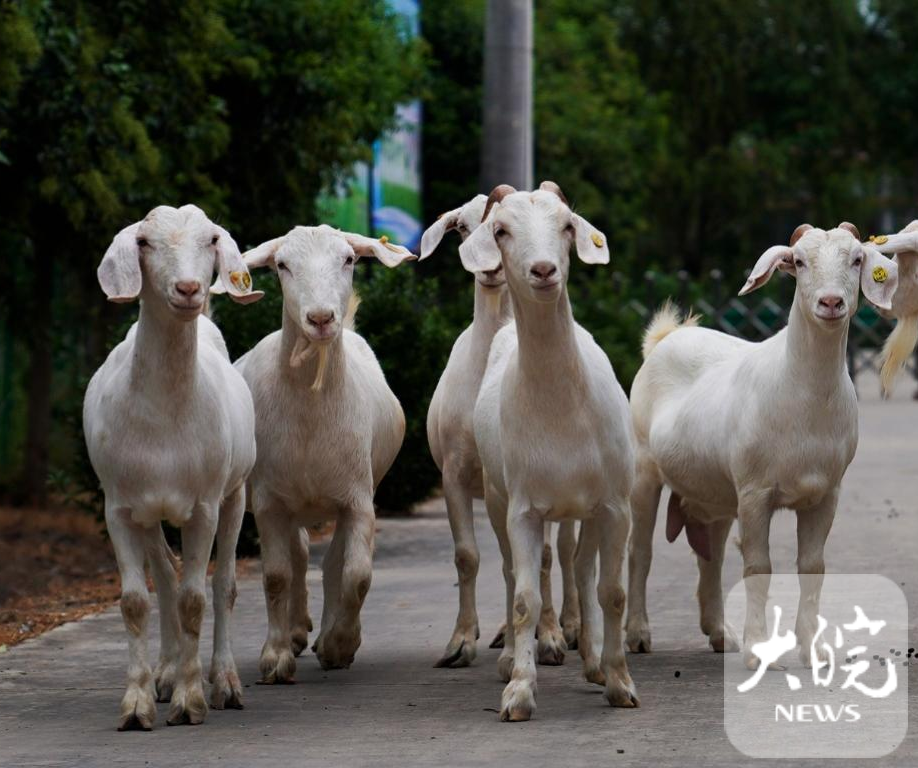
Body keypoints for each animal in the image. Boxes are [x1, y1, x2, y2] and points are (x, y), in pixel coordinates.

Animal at [84, 206, 262, 732]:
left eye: (212, 240)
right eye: (144, 242)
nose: (187, 290)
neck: (164, 416)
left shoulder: (203, 506)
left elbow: (194, 599)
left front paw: (190, 701)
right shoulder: (119, 507)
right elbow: (137, 600)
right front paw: (137, 703)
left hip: (236, 492)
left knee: (221, 585)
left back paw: (223, 682)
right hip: (149, 510)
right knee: (164, 576)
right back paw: (165, 673)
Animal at [228, 225, 416, 680]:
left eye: (349, 259)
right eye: (281, 265)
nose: (320, 319)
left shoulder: (358, 497)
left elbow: (356, 575)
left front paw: (338, 645)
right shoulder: (269, 502)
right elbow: (276, 575)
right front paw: (275, 657)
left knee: (327, 563)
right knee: (297, 557)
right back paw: (296, 633)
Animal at [420, 196, 580, 664]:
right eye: (460, 228)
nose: (489, 270)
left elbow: (544, 556)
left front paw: (550, 637)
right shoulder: (456, 473)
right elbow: (469, 556)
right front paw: (460, 642)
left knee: (567, 551)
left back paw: (571, 625)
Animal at [464, 183, 636, 724]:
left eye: (566, 224)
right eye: (501, 229)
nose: (543, 271)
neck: (563, 411)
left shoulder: (614, 505)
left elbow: (612, 591)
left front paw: (620, 683)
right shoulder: (522, 507)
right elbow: (524, 596)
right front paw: (519, 690)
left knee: (581, 569)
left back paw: (595, 662)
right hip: (497, 495)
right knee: (513, 569)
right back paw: (510, 659)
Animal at [624, 220, 900, 664]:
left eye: (857, 259)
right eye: (799, 262)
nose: (831, 302)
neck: (803, 397)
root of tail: (665, 338)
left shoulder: (826, 493)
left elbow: (812, 567)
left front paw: (811, 649)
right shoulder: (755, 492)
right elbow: (758, 567)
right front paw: (757, 647)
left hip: (715, 491)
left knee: (710, 555)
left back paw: (721, 633)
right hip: (644, 469)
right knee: (640, 551)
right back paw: (638, 634)